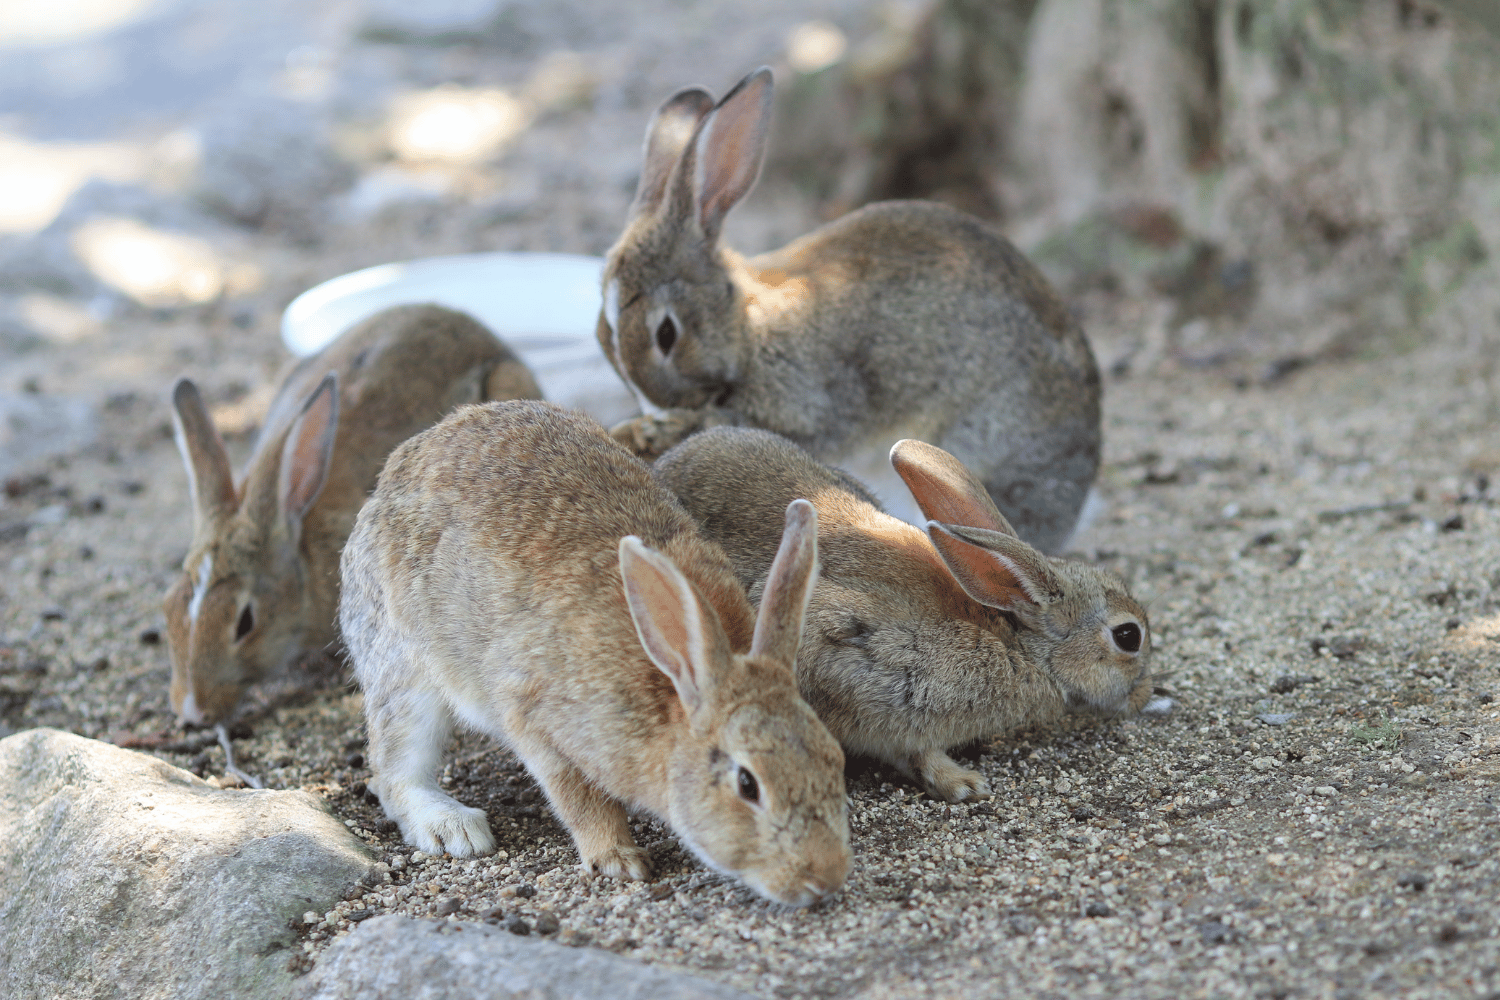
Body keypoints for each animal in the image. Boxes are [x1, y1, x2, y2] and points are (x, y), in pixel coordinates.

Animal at [343, 401, 858, 905]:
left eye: (834, 759)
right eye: (748, 785)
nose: (827, 877)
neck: (678, 694)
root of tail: (386, 483)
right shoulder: (539, 720)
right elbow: (581, 799)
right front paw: (618, 859)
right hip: (403, 668)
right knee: (394, 769)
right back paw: (455, 828)